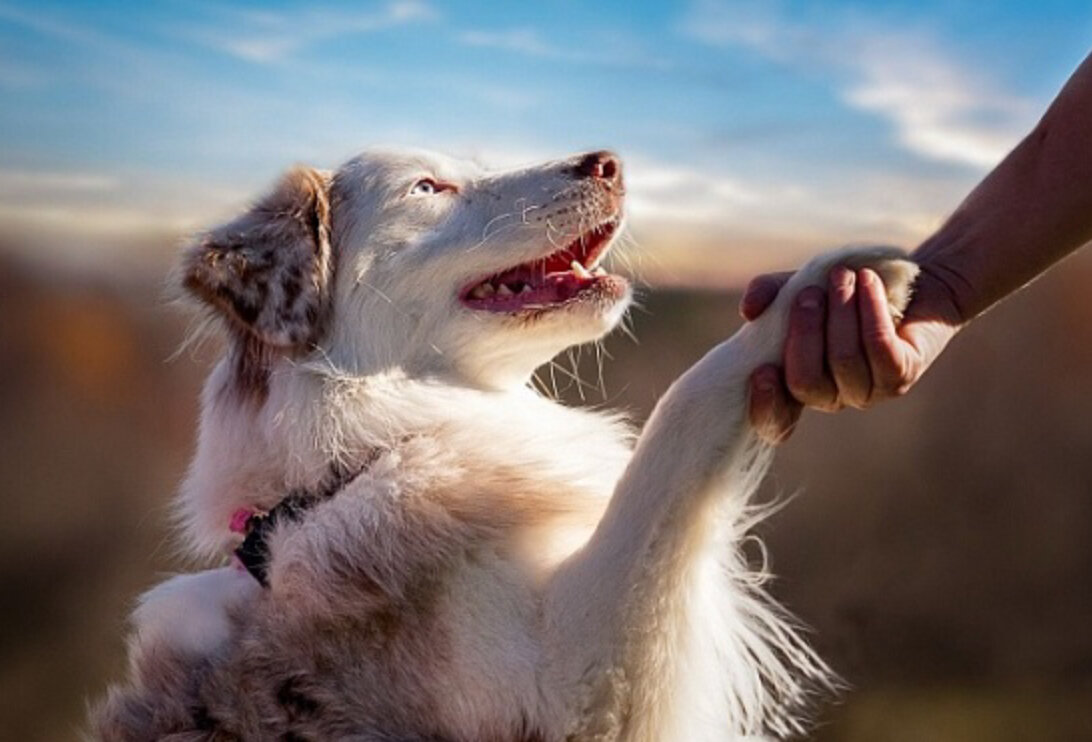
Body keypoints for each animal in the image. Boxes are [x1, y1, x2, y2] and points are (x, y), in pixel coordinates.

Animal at [89, 147, 917, 738]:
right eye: (429, 187)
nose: (609, 161)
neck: (360, 460)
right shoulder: (577, 683)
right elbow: (682, 415)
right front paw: (833, 282)